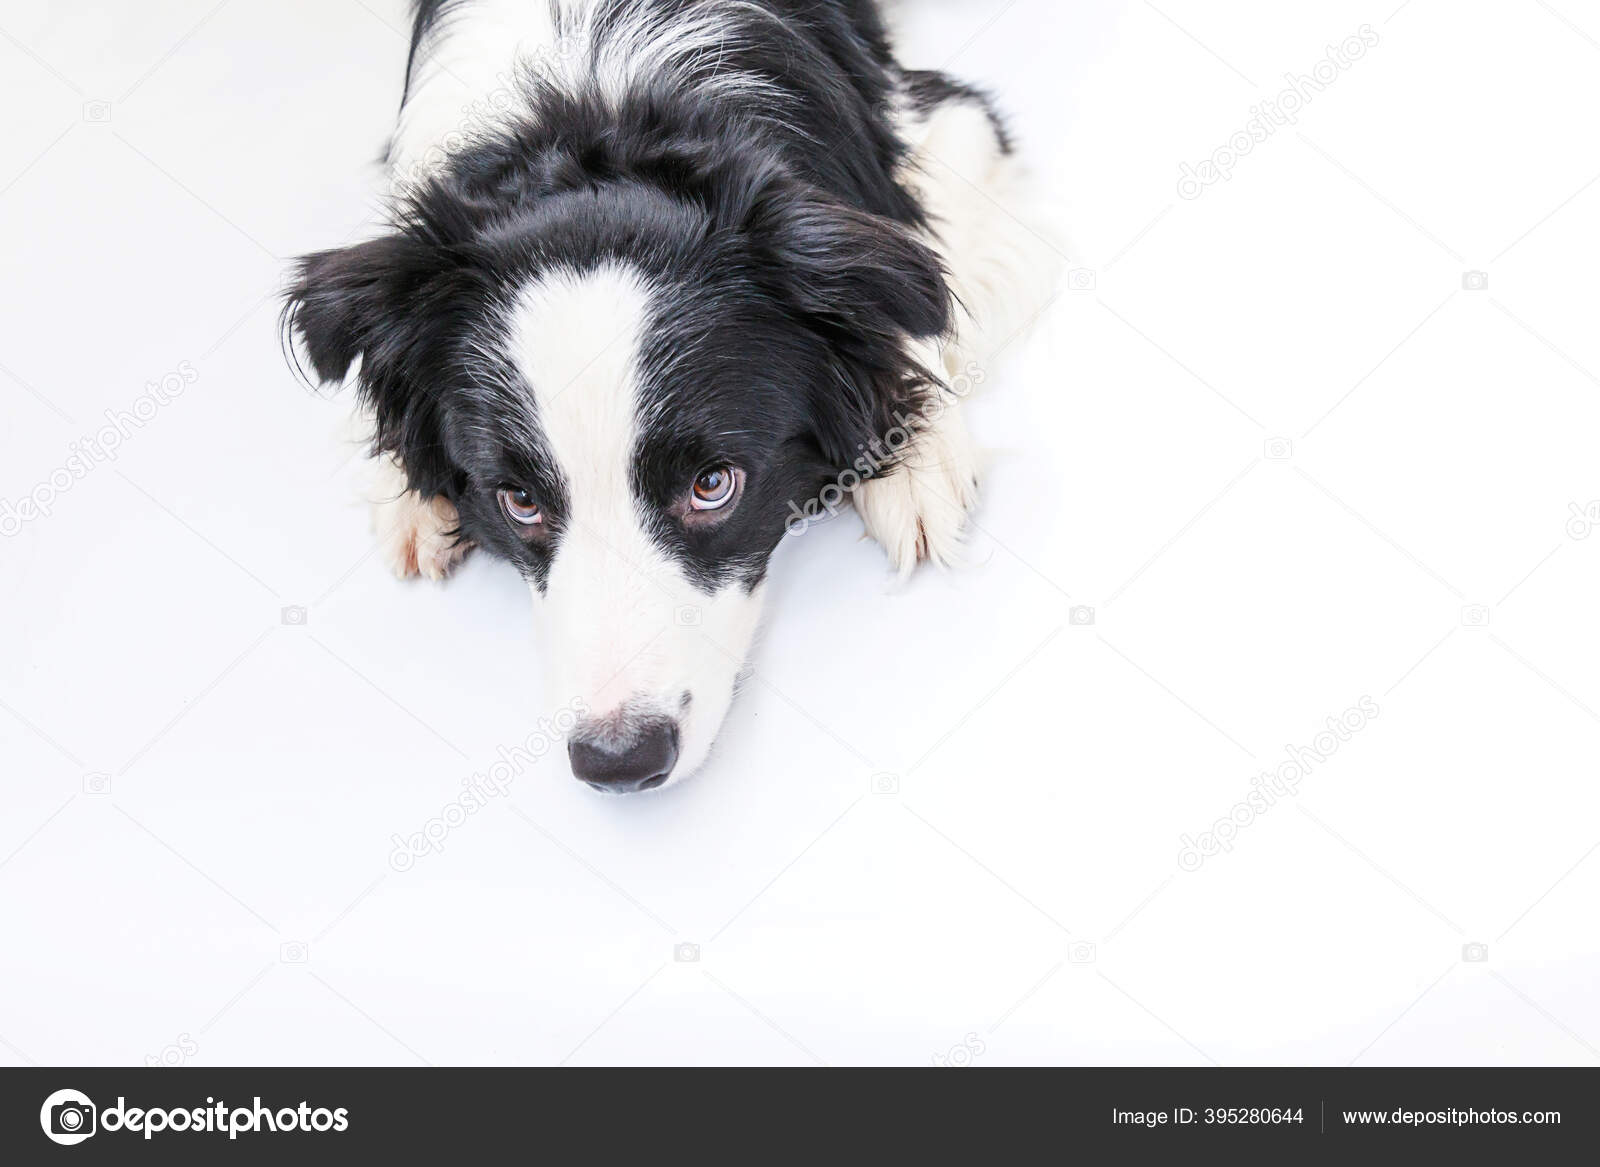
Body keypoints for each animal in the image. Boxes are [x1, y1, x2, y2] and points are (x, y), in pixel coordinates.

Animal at [284, 0, 1049, 790]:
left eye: (713, 485)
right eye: (518, 501)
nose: (618, 762)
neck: (595, 103)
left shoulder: (944, 118)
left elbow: (914, 273)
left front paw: (915, 460)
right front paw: (405, 489)